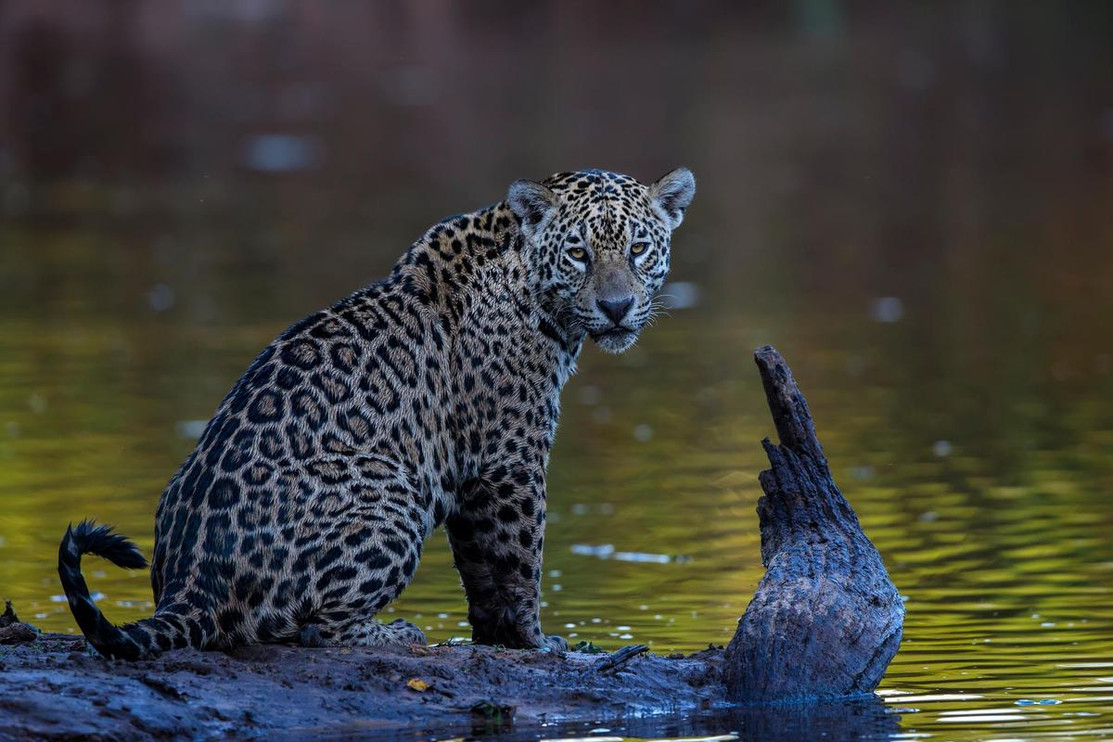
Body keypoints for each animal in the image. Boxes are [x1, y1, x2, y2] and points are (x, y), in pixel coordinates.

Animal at [58, 167, 696, 660]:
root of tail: (189, 584)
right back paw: (395, 632)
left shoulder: (471, 474)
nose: (617, 307)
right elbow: (519, 559)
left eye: (639, 248)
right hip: (393, 490)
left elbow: (482, 572)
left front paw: (496, 639)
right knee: (306, 629)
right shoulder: (509, 459)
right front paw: (537, 643)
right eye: (579, 253)